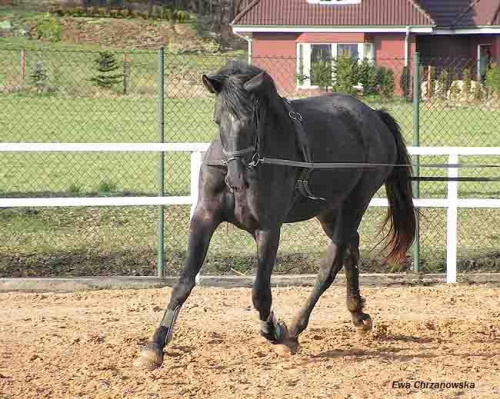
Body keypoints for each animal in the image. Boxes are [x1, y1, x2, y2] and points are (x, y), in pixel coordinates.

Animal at [135, 61, 416, 370]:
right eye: (218, 120)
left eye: (251, 120)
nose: (236, 179)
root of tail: (374, 116)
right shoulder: (204, 219)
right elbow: (183, 283)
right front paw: (155, 346)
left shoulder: (268, 229)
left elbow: (260, 293)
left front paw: (275, 331)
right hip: (330, 210)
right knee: (350, 248)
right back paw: (358, 315)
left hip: (356, 201)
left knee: (331, 263)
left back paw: (294, 331)